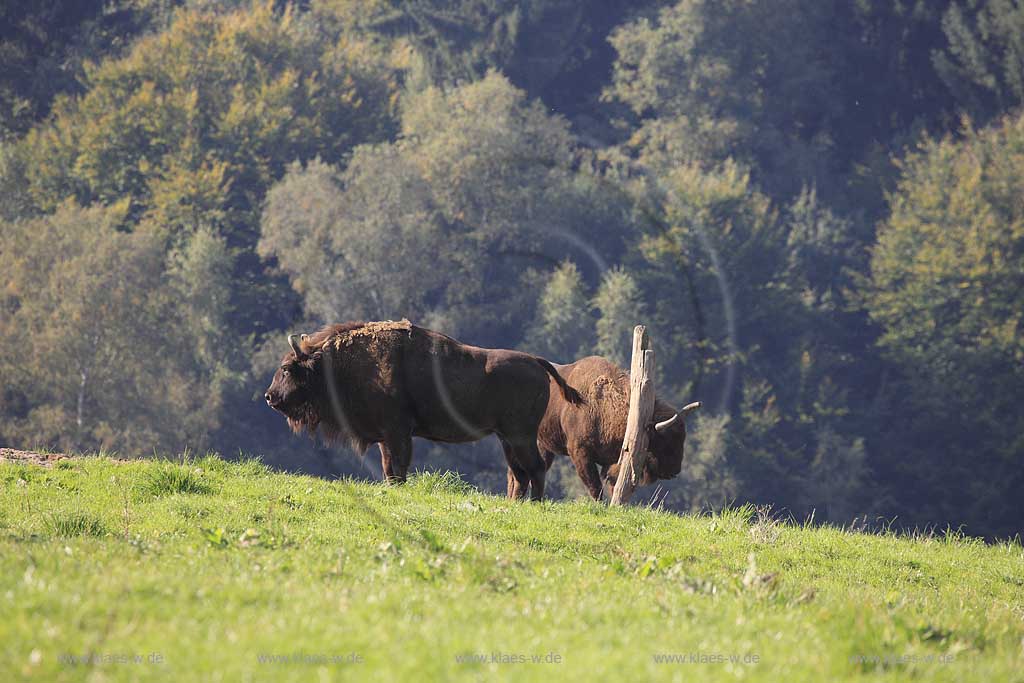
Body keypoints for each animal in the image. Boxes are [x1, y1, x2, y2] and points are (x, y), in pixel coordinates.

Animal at [262, 321, 585, 501]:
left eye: (287, 369)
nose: (269, 397)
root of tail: (537, 362)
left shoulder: (397, 433)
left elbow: (398, 467)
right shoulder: (387, 437)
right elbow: (389, 468)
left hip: (521, 437)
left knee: (535, 469)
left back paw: (535, 503)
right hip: (507, 438)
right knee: (520, 473)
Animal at [516, 358, 700, 501]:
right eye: (665, 442)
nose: (674, 471)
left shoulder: (612, 461)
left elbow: (612, 483)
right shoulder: (580, 453)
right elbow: (595, 487)